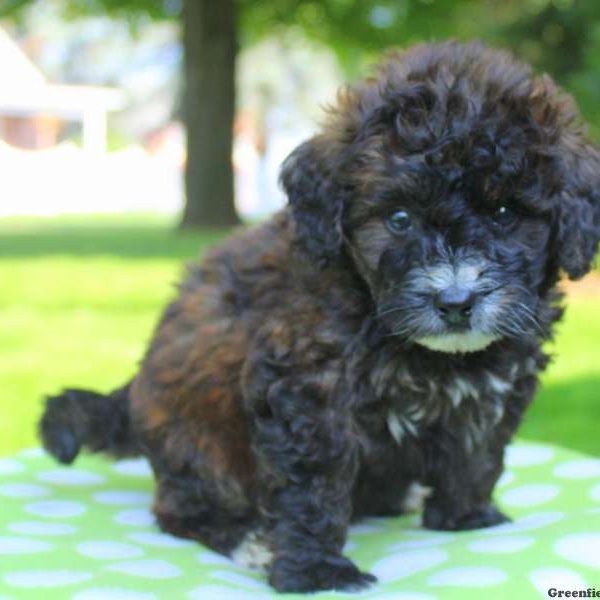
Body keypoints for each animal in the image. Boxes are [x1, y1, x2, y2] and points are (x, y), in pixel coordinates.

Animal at [41, 43, 600, 596]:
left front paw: (466, 517)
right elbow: (313, 481)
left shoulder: (497, 382)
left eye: (505, 213)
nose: (456, 301)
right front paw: (316, 572)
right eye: (399, 219)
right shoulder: (306, 383)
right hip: (197, 444)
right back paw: (245, 538)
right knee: (178, 509)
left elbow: (477, 450)